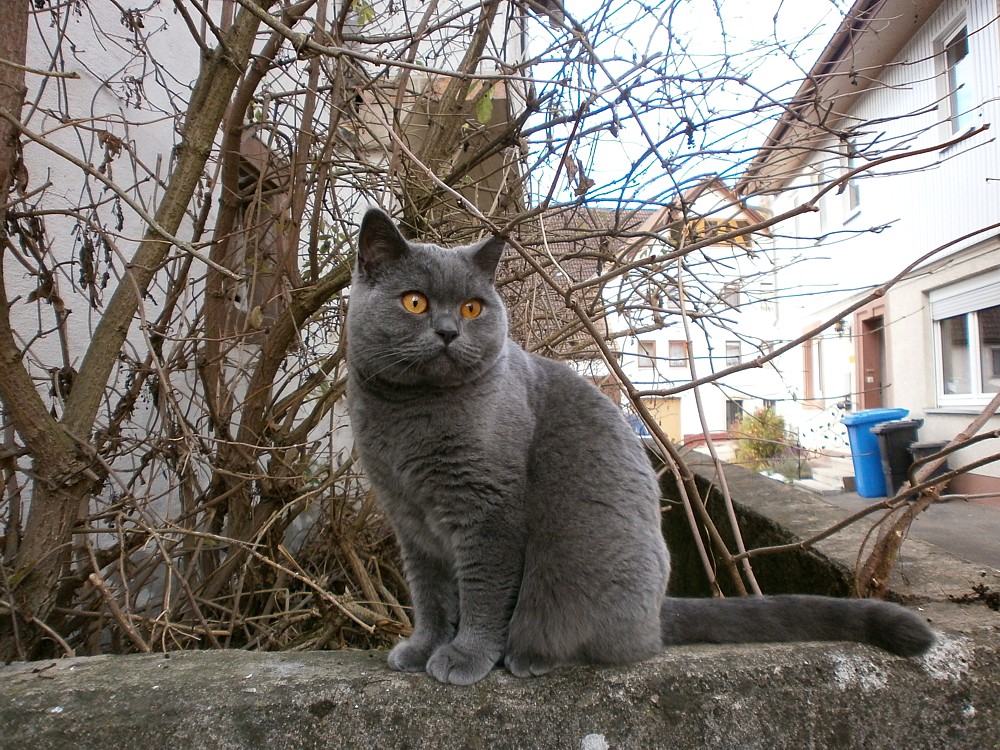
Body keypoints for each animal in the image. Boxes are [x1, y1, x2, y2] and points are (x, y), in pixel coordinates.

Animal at [346, 207, 936, 688]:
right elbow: (429, 594)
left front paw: (464, 656)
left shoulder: (488, 513)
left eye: (471, 309)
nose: (448, 331)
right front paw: (421, 648)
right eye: (415, 302)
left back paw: (531, 655)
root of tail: (656, 613)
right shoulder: (410, 519)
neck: (408, 418)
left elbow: (483, 592)